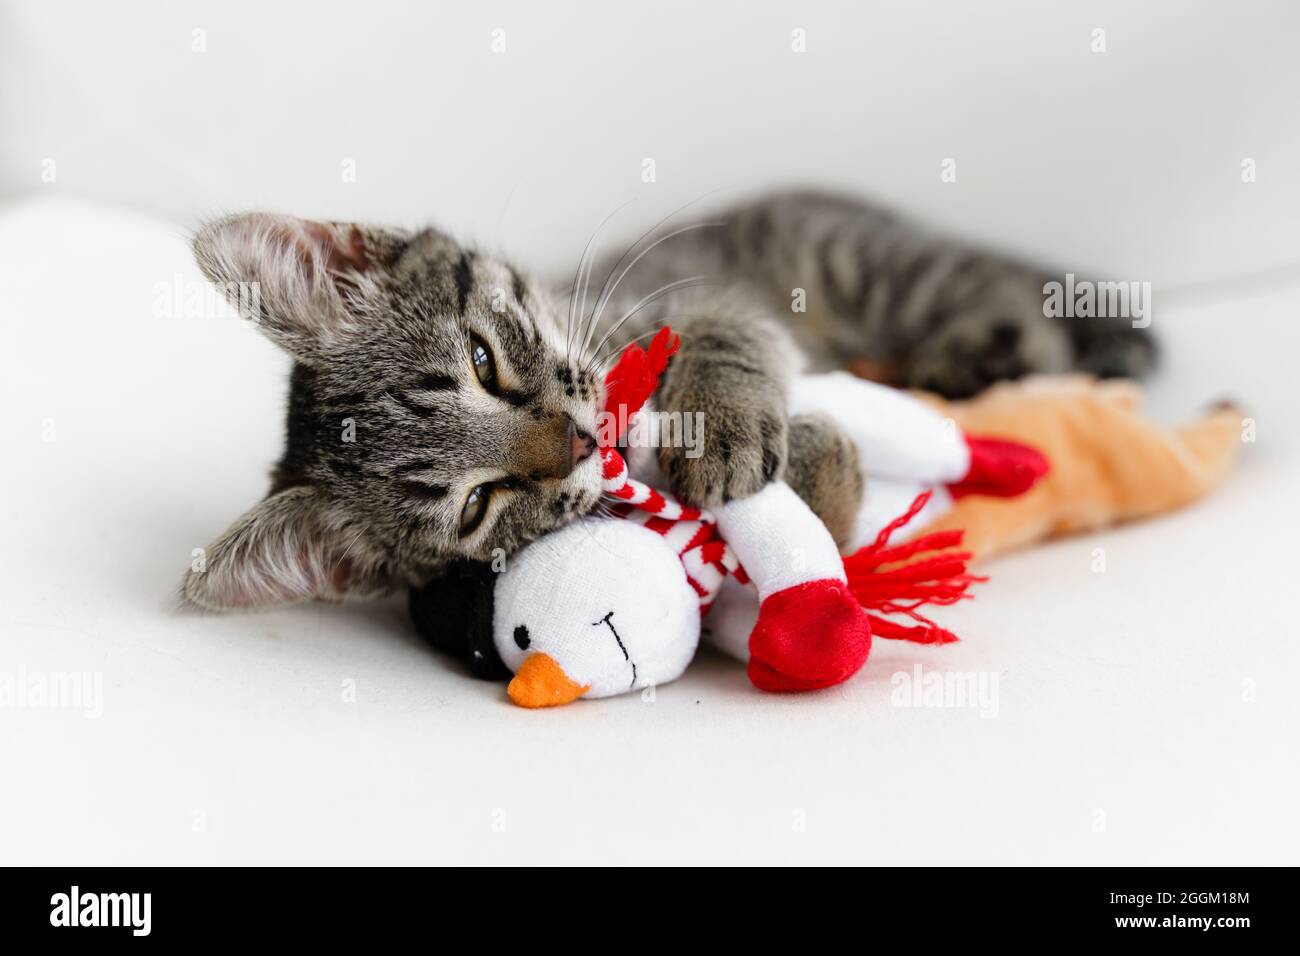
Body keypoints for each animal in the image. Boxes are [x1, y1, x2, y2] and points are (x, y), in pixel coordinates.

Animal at [183, 191, 1149, 608]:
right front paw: (824, 461)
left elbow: (724, 336)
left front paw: (722, 425)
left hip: (870, 266)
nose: (578, 443)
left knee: (1012, 299)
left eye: (485, 362)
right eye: (477, 506)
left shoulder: (706, 295)